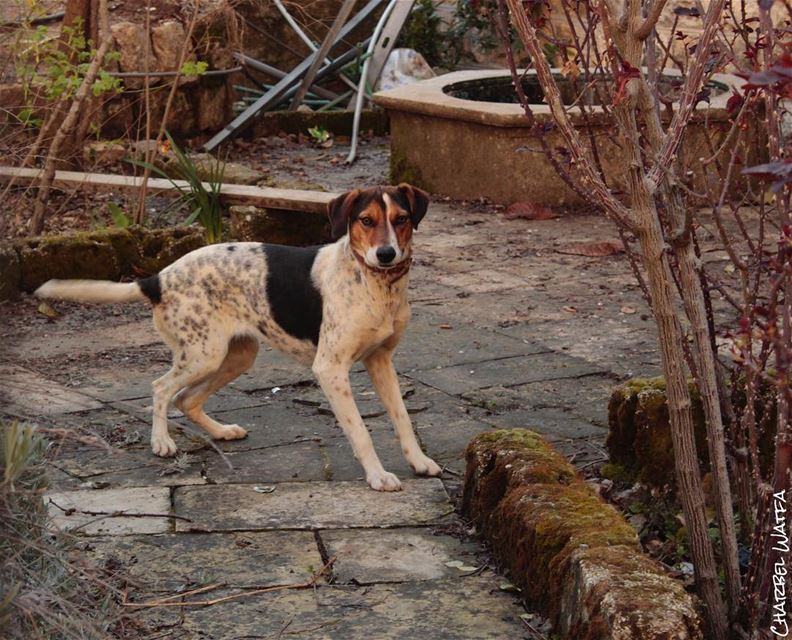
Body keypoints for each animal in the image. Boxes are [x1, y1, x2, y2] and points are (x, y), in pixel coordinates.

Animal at [35, 182, 440, 492]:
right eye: (366, 220)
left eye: (401, 219)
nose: (386, 254)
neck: (377, 284)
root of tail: (158, 278)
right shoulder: (331, 368)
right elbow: (360, 431)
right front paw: (377, 476)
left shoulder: (381, 361)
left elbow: (403, 418)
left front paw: (419, 461)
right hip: (204, 354)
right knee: (161, 388)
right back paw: (162, 442)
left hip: (236, 356)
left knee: (186, 399)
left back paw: (221, 431)